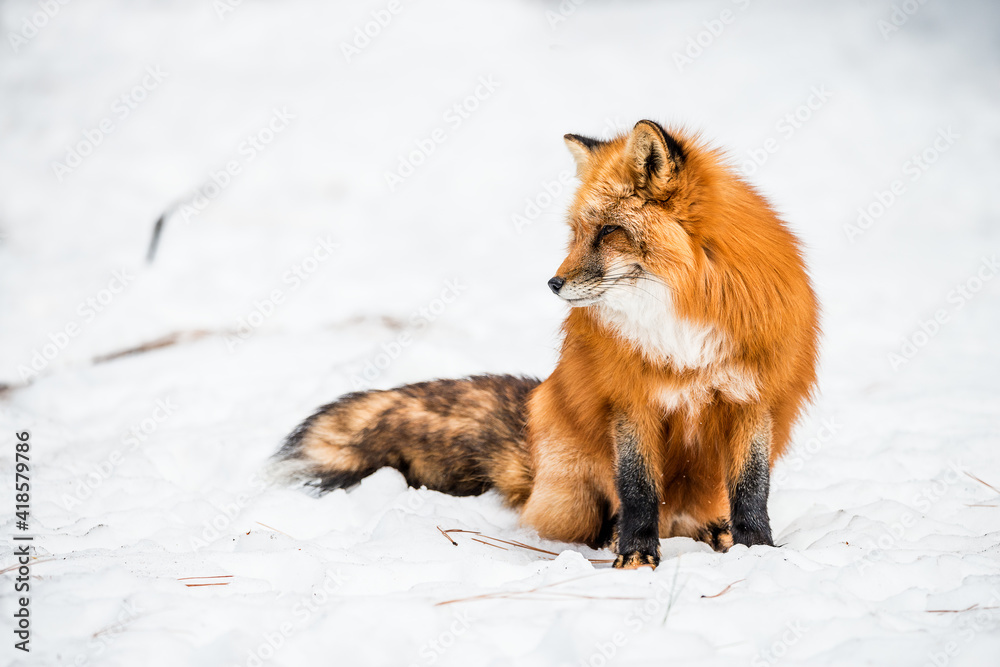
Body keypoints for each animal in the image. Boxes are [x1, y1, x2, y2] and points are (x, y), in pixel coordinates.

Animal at [276, 120, 820, 568]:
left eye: (609, 231)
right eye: (577, 233)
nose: (553, 284)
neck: (678, 321)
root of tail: (533, 459)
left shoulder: (751, 397)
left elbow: (751, 489)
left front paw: (758, 551)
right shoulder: (631, 400)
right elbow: (638, 488)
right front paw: (636, 555)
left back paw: (716, 533)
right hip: (574, 484)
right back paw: (610, 540)